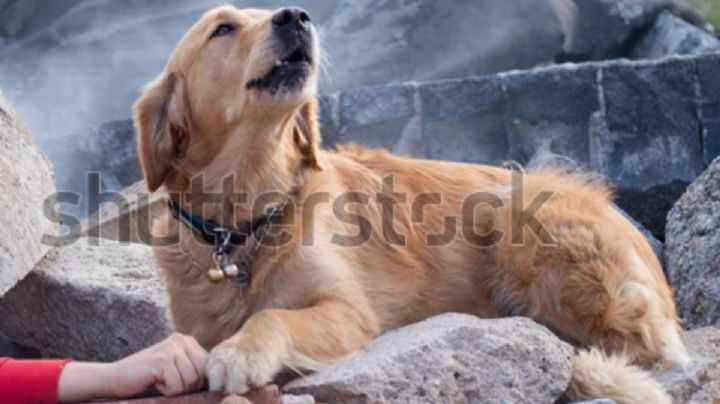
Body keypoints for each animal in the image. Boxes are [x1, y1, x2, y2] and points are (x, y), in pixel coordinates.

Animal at [134, 4, 692, 402]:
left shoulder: (351, 312)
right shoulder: (196, 328)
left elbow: (272, 317)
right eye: (223, 29)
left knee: (639, 349)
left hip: (525, 212)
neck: (243, 225)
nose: (296, 16)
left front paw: (241, 353)